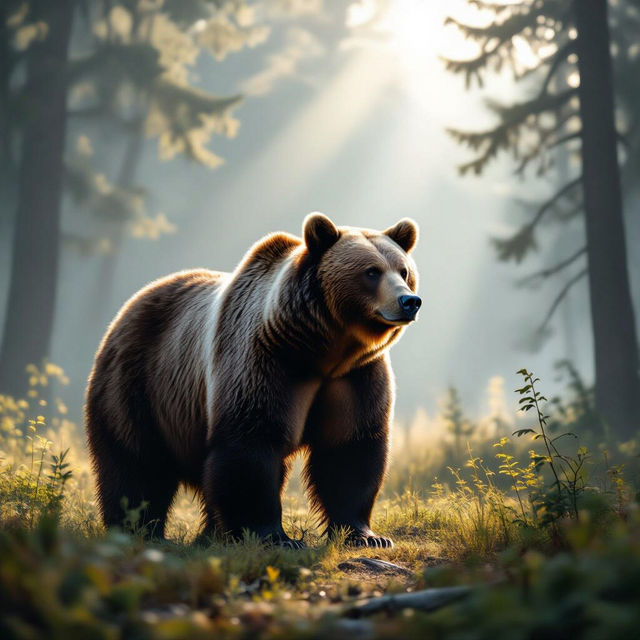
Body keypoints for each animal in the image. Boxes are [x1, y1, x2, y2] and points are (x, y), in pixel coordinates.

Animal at [85, 213, 420, 548]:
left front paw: (367, 536)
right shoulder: (266, 359)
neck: (323, 351)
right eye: (372, 271)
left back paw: (209, 535)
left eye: (403, 271)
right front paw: (276, 537)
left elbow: (350, 449)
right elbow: (251, 442)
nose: (409, 301)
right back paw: (139, 530)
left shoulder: (355, 376)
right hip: (138, 382)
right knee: (135, 463)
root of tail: (127, 308)